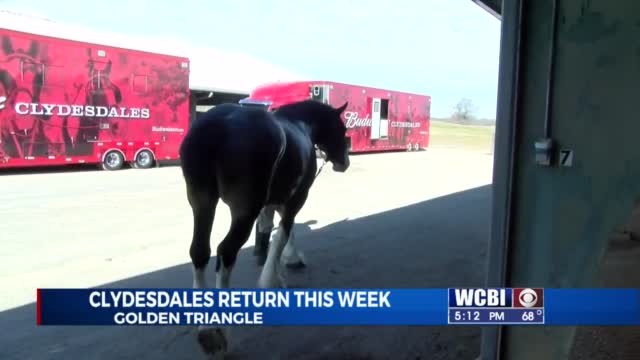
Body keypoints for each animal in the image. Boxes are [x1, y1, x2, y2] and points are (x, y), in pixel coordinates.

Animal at [179, 98, 350, 358]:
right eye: (343, 129)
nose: (344, 162)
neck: (300, 124)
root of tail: (216, 126)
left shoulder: (273, 200)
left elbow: (274, 229)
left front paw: (284, 260)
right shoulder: (296, 198)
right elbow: (283, 232)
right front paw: (274, 277)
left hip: (202, 201)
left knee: (199, 251)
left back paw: (206, 328)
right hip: (243, 210)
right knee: (226, 252)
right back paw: (220, 331)